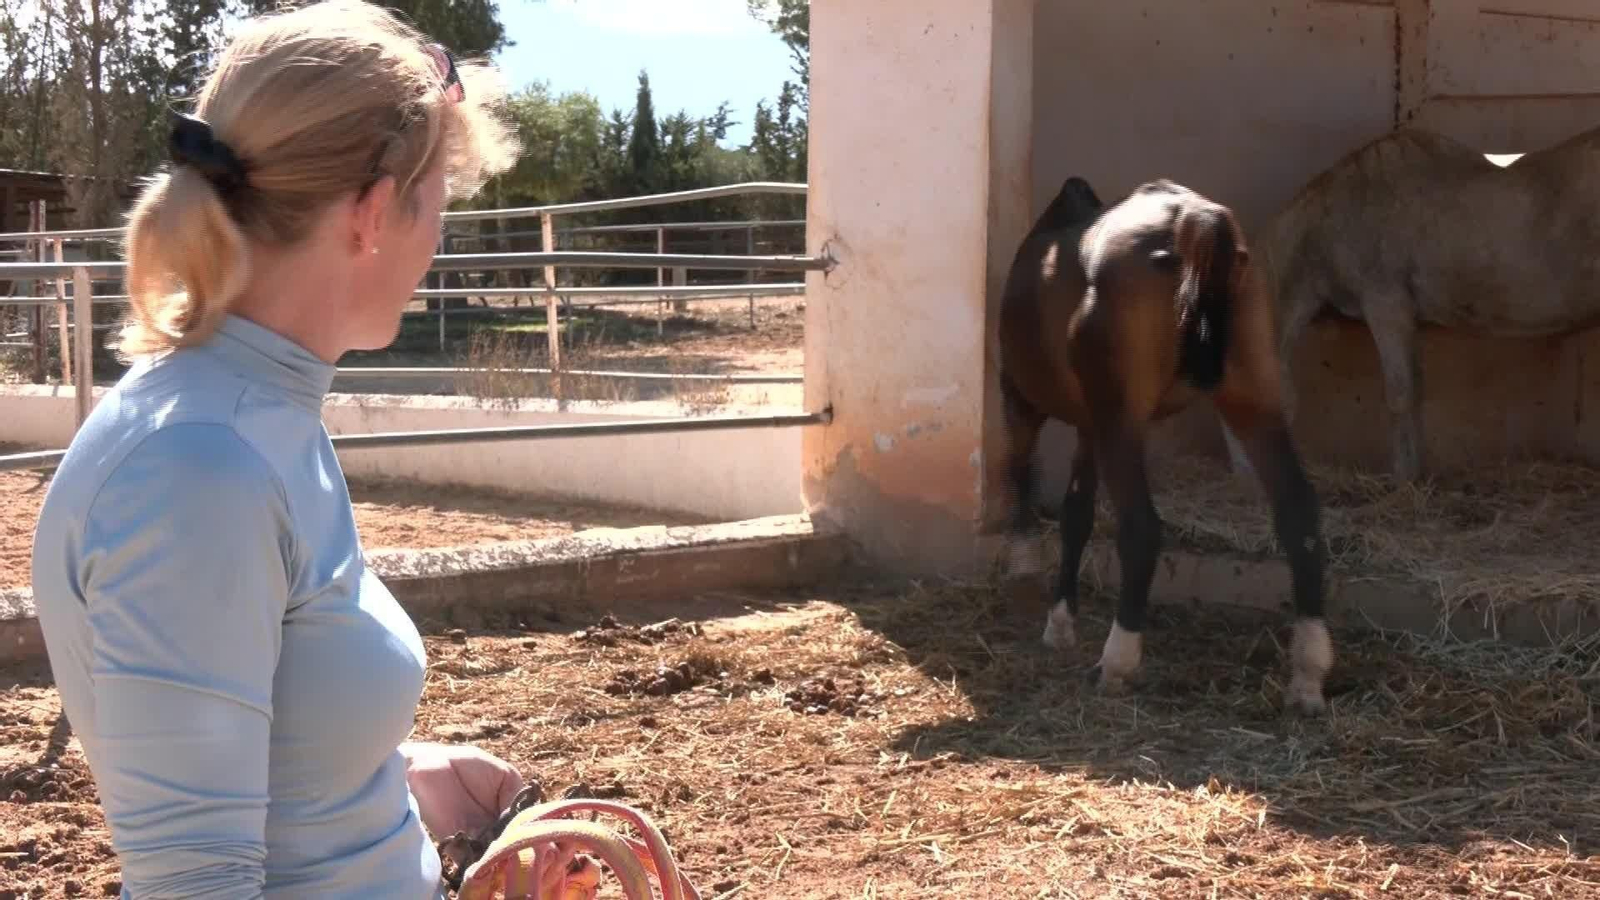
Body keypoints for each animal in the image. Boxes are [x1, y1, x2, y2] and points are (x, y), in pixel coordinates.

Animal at [996, 176, 1333, 715]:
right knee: (1298, 514)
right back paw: (1308, 675)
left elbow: (1025, 481)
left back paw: (1116, 661)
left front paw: (1029, 578)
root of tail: (1195, 219)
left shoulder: (1023, 401)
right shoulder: (1090, 426)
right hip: (1253, 402)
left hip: (1120, 422)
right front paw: (1060, 620)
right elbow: (1075, 516)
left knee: (1141, 528)